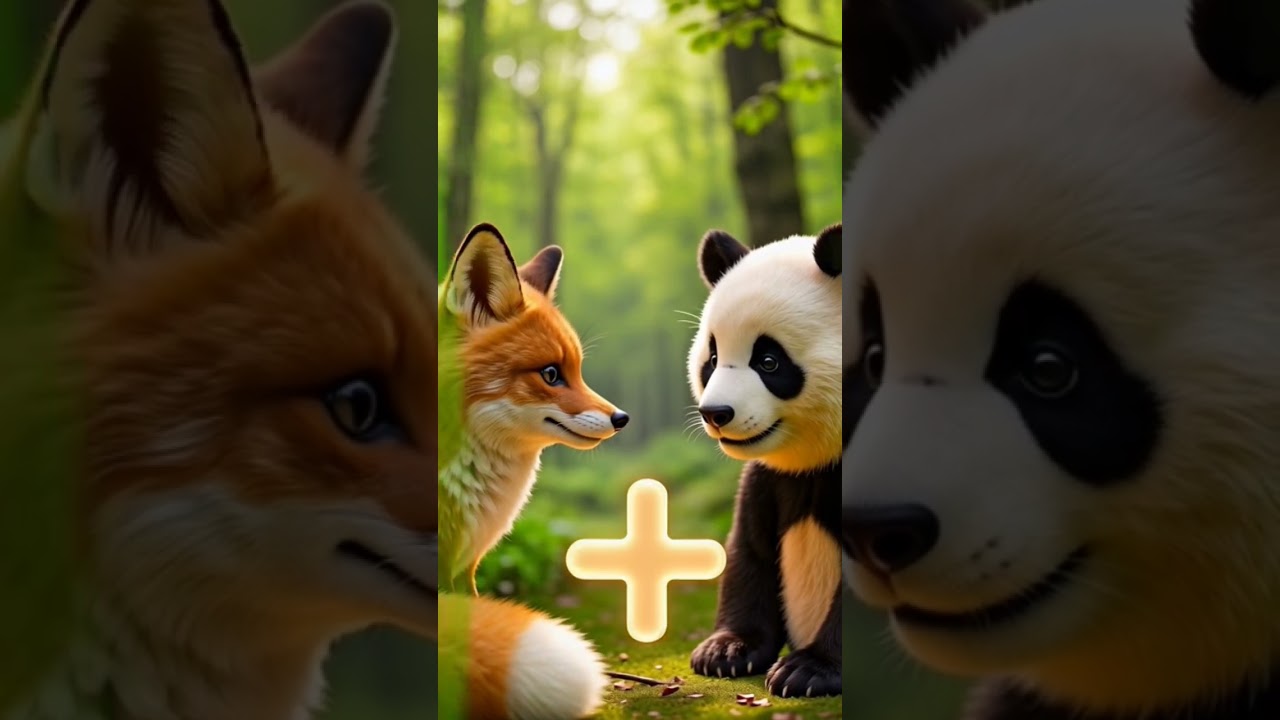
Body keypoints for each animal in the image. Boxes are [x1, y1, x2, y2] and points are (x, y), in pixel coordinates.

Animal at [686, 224, 843, 699]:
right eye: (712, 359)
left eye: (769, 361)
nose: (716, 413)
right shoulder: (768, 474)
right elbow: (749, 551)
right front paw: (726, 650)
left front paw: (808, 671)